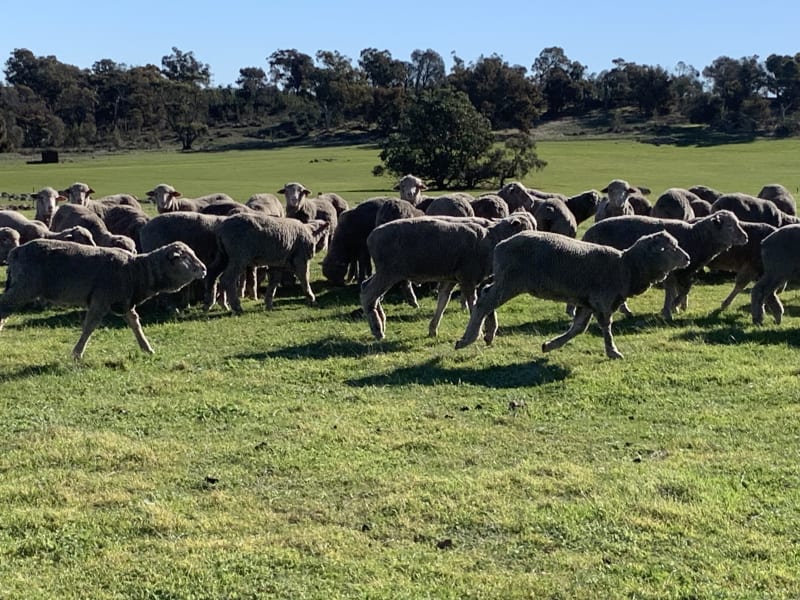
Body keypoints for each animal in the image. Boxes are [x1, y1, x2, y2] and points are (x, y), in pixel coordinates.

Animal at [0, 240, 206, 359]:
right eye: (185, 257)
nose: (203, 269)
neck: (136, 271)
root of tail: (16, 251)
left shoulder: (124, 302)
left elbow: (135, 323)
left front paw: (147, 348)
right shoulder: (101, 299)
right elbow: (90, 326)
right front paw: (77, 354)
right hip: (24, 287)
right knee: (4, 307)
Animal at [360, 213, 535, 340]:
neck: (491, 238)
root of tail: (371, 237)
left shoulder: (451, 278)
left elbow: (442, 302)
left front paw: (433, 329)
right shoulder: (467, 278)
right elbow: (473, 303)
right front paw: (477, 333)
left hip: (384, 272)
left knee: (368, 289)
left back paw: (380, 321)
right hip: (388, 272)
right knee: (368, 295)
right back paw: (377, 330)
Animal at [455, 230, 690, 359]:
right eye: (671, 248)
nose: (687, 258)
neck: (627, 266)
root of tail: (501, 245)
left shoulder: (587, 302)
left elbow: (578, 328)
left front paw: (550, 345)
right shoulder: (602, 300)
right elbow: (606, 327)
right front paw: (613, 351)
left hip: (505, 279)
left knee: (485, 294)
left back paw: (488, 332)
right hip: (511, 281)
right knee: (484, 303)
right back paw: (468, 339)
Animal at [582, 210, 748, 320]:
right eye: (729, 226)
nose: (745, 237)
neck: (696, 237)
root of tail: (588, 234)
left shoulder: (683, 271)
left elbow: (683, 289)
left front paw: (675, 308)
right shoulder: (673, 270)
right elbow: (673, 291)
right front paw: (670, 309)